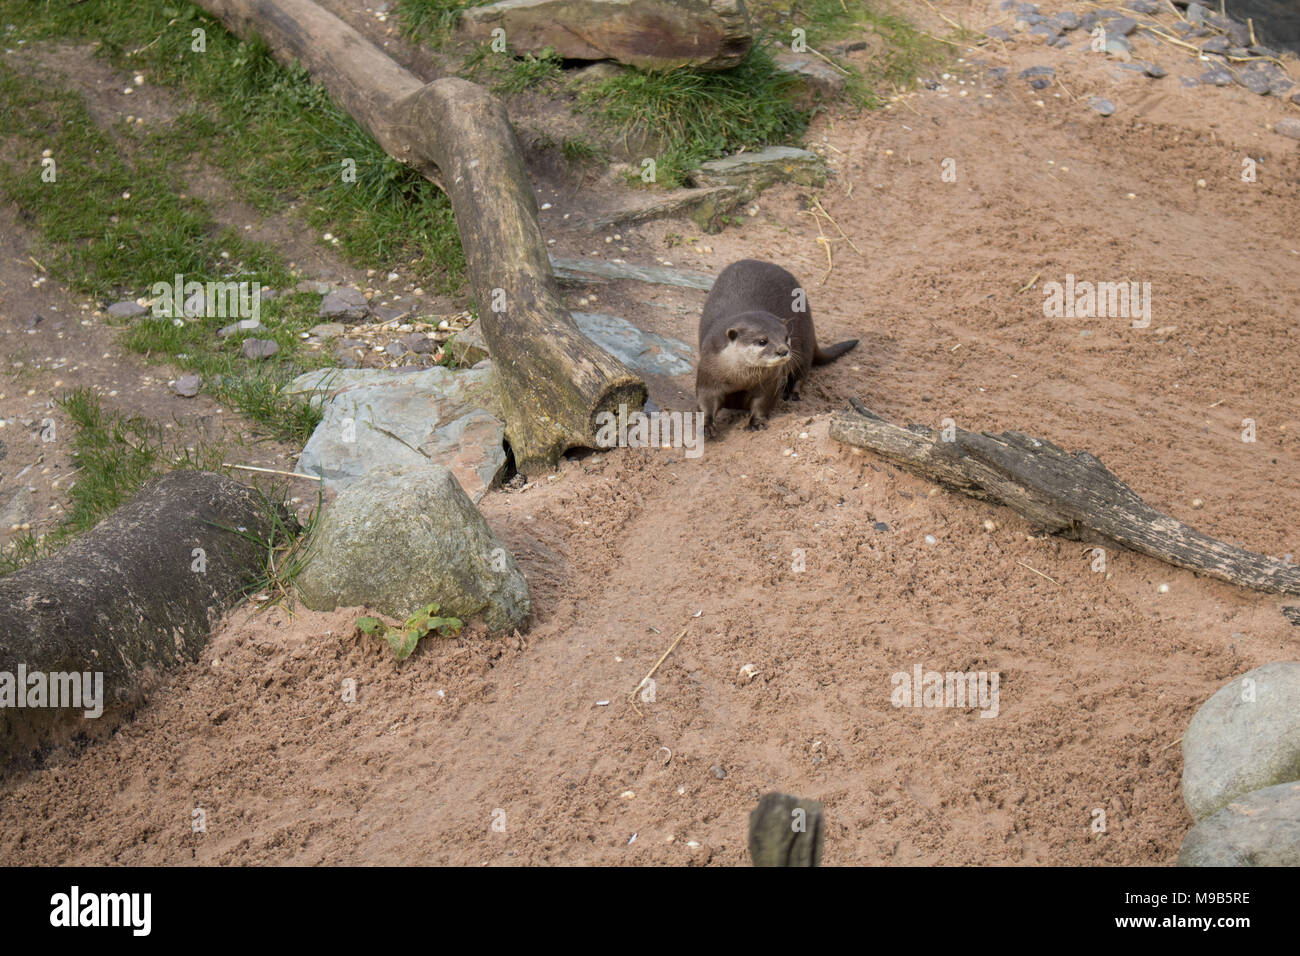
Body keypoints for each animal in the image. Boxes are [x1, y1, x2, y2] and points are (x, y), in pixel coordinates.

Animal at [696, 257, 857, 437]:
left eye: (786, 337)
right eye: (762, 341)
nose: (783, 350)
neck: (739, 379)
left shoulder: (769, 381)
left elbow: (763, 402)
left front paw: (757, 422)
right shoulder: (708, 370)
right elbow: (705, 400)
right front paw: (706, 426)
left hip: (805, 344)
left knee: (802, 372)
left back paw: (792, 393)